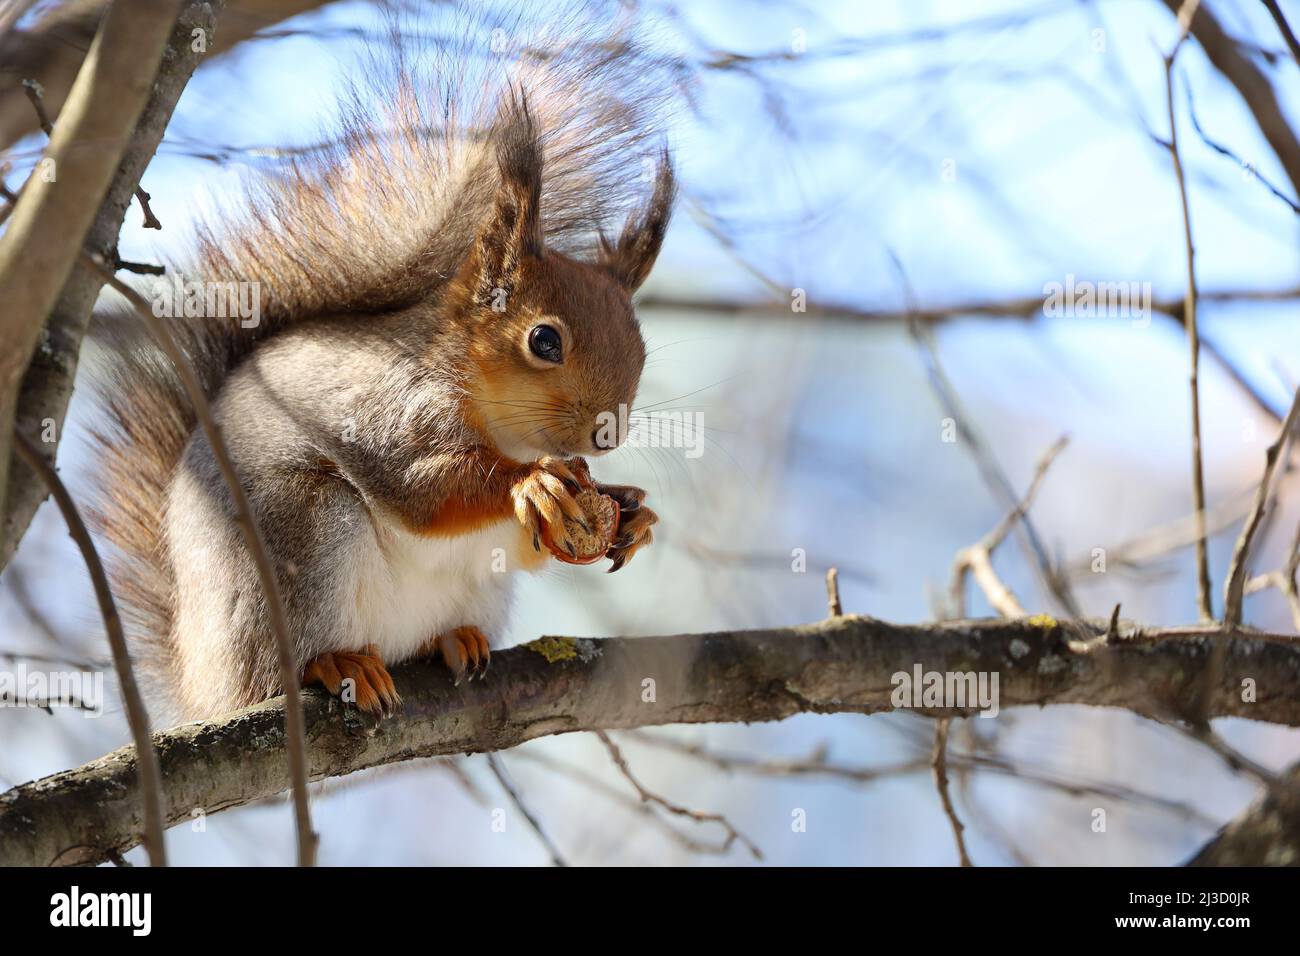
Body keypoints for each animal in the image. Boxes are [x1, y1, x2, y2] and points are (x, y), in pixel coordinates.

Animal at [86, 11, 676, 723]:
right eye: (544, 341)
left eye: (640, 349)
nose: (605, 435)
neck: (499, 419)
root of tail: (205, 685)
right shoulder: (392, 407)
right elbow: (423, 489)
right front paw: (532, 482)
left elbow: (524, 544)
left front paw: (632, 512)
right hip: (300, 537)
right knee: (285, 661)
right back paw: (335, 664)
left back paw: (454, 640)